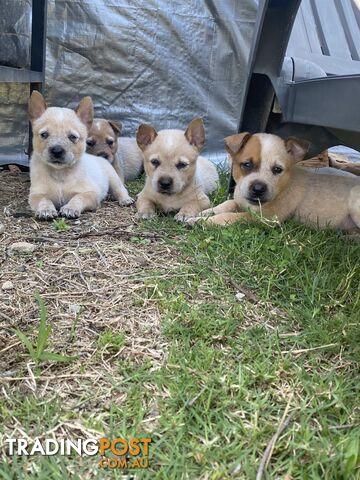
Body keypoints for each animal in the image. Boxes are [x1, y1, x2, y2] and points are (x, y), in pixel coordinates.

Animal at [27, 91, 132, 219]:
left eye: (72, 137)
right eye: (44, 134)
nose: (57, 150)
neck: (60, 174)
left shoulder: (90, 193)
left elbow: (78, 198)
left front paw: (70, 208)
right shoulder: (36, 194)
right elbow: (44, 199)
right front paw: (46, 209)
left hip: (113, 178)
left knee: (120, 190)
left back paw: (126, 199)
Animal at [190, 130, 358, 230]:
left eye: (277, 169)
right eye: (247, 164)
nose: (258, 189)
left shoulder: (267, 218)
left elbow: (232, 216)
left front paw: (201, 221)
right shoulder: (240, 200)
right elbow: (227, 204)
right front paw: (204, 213)